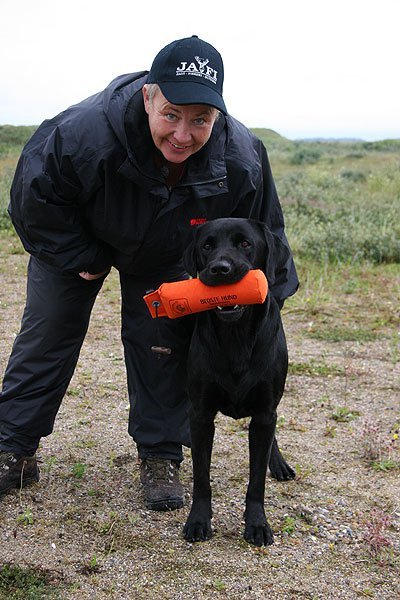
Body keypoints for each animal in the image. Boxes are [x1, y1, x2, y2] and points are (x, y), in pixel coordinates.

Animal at [183, 218, 296, 548]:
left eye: (245, 243)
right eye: (207, 245)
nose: (220, 269)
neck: (236, 337)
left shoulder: (264, 412)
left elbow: (256, 480)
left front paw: (257, 524)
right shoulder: (200, 414)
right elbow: (201, 475)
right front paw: (198, 520)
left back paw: (278, 463)